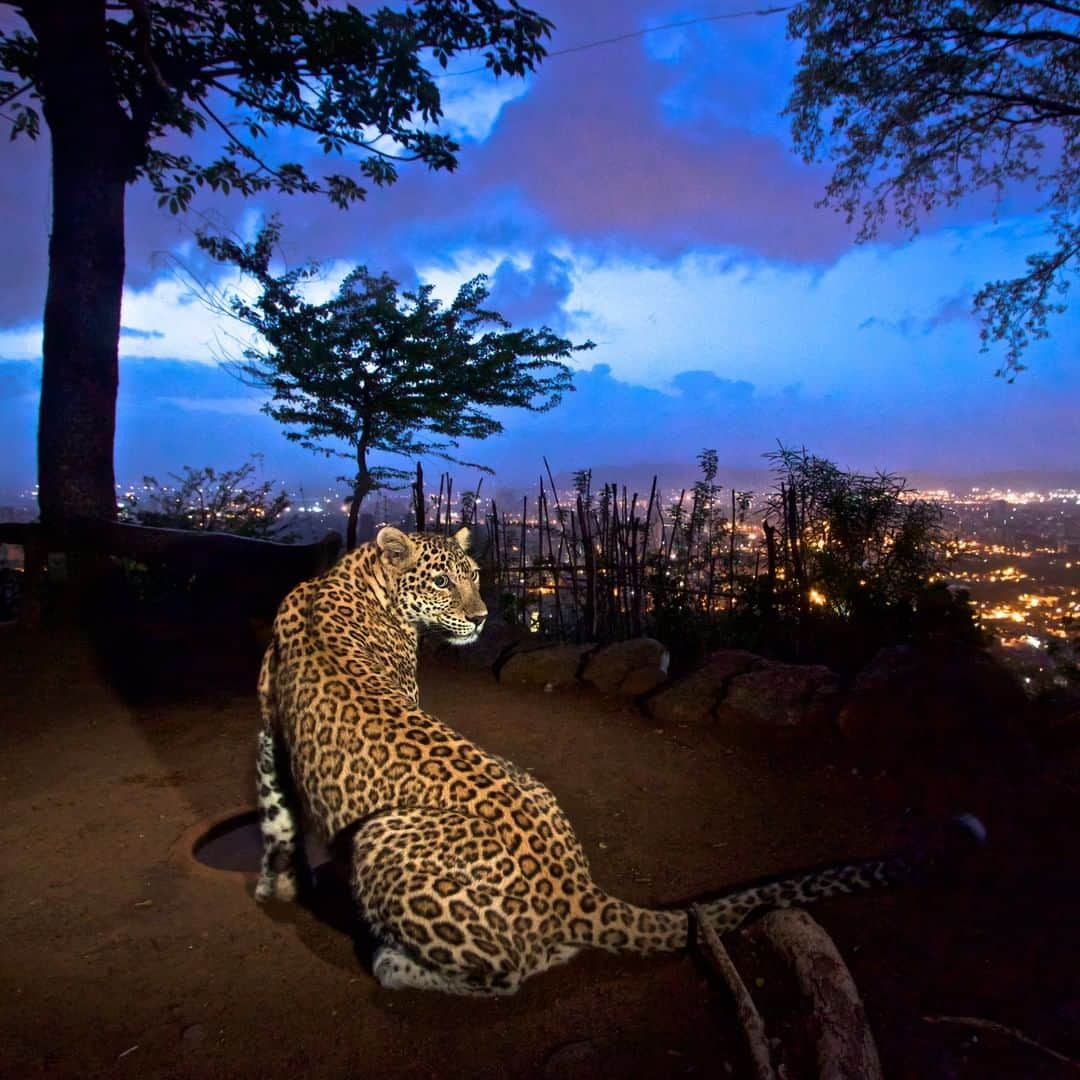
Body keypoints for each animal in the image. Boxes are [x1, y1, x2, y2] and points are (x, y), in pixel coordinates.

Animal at [254, 522, 989, 993]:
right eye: (440, 582)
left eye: (475, 577)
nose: (483, 617)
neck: (349, 579)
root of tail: (577, 888)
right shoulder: (269, 725)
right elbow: (275, 813)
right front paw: (281, 886)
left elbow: (276, 812)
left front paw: (284, 887)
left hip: (382, 835)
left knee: (510, 973)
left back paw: (394, 965)